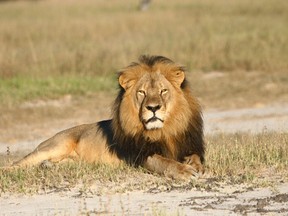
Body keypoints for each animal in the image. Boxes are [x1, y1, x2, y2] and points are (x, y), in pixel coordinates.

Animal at [11, 54, 206, 180]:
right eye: (142, 92)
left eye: (163, 91)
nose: (153, 108)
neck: (164, 130)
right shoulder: (139, 156)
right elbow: (164, 162)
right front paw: (185, 171)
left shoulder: (188, 144)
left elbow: (195, 156)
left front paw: (196, 166)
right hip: (54, 146)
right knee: (15, 164)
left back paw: (47, 166)